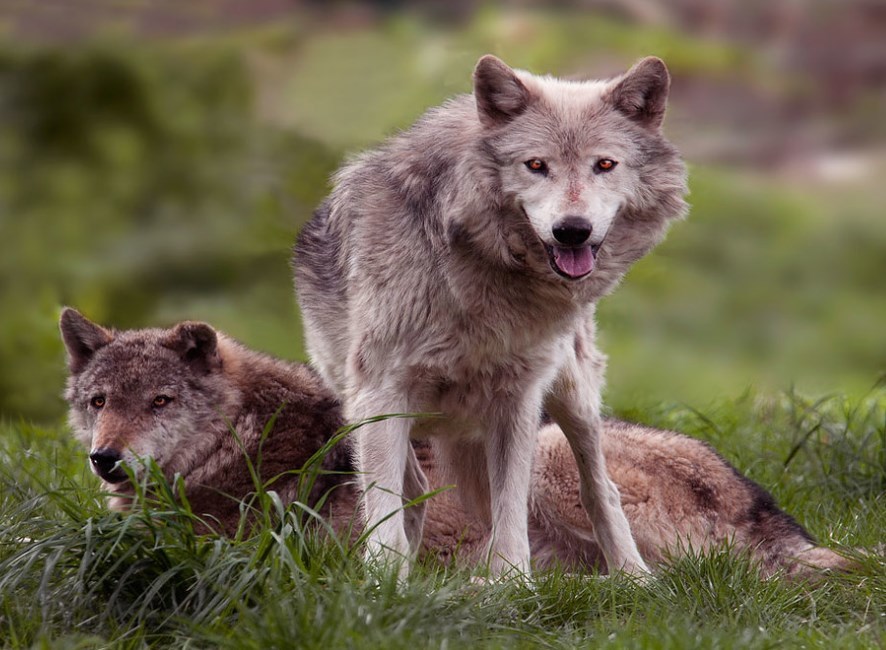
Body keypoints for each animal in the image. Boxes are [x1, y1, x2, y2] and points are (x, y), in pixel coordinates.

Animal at [60, 306, 852, 576]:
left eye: (160, 402)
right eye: (99, 402)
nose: (106, 459)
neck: (244, 443)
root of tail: (762, 504)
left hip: (549, 456)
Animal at [294, 53, 692, 576]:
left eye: (604, 164)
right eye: (536, 165)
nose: (572, 230)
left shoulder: (517, 400)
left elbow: (510, 511)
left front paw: (511, 581)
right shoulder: (380, 392)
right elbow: (385, 513)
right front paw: (384, 585)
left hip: (574, 398)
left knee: (601, 488)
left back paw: (633, 576)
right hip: (363, 403)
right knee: (414, 489)